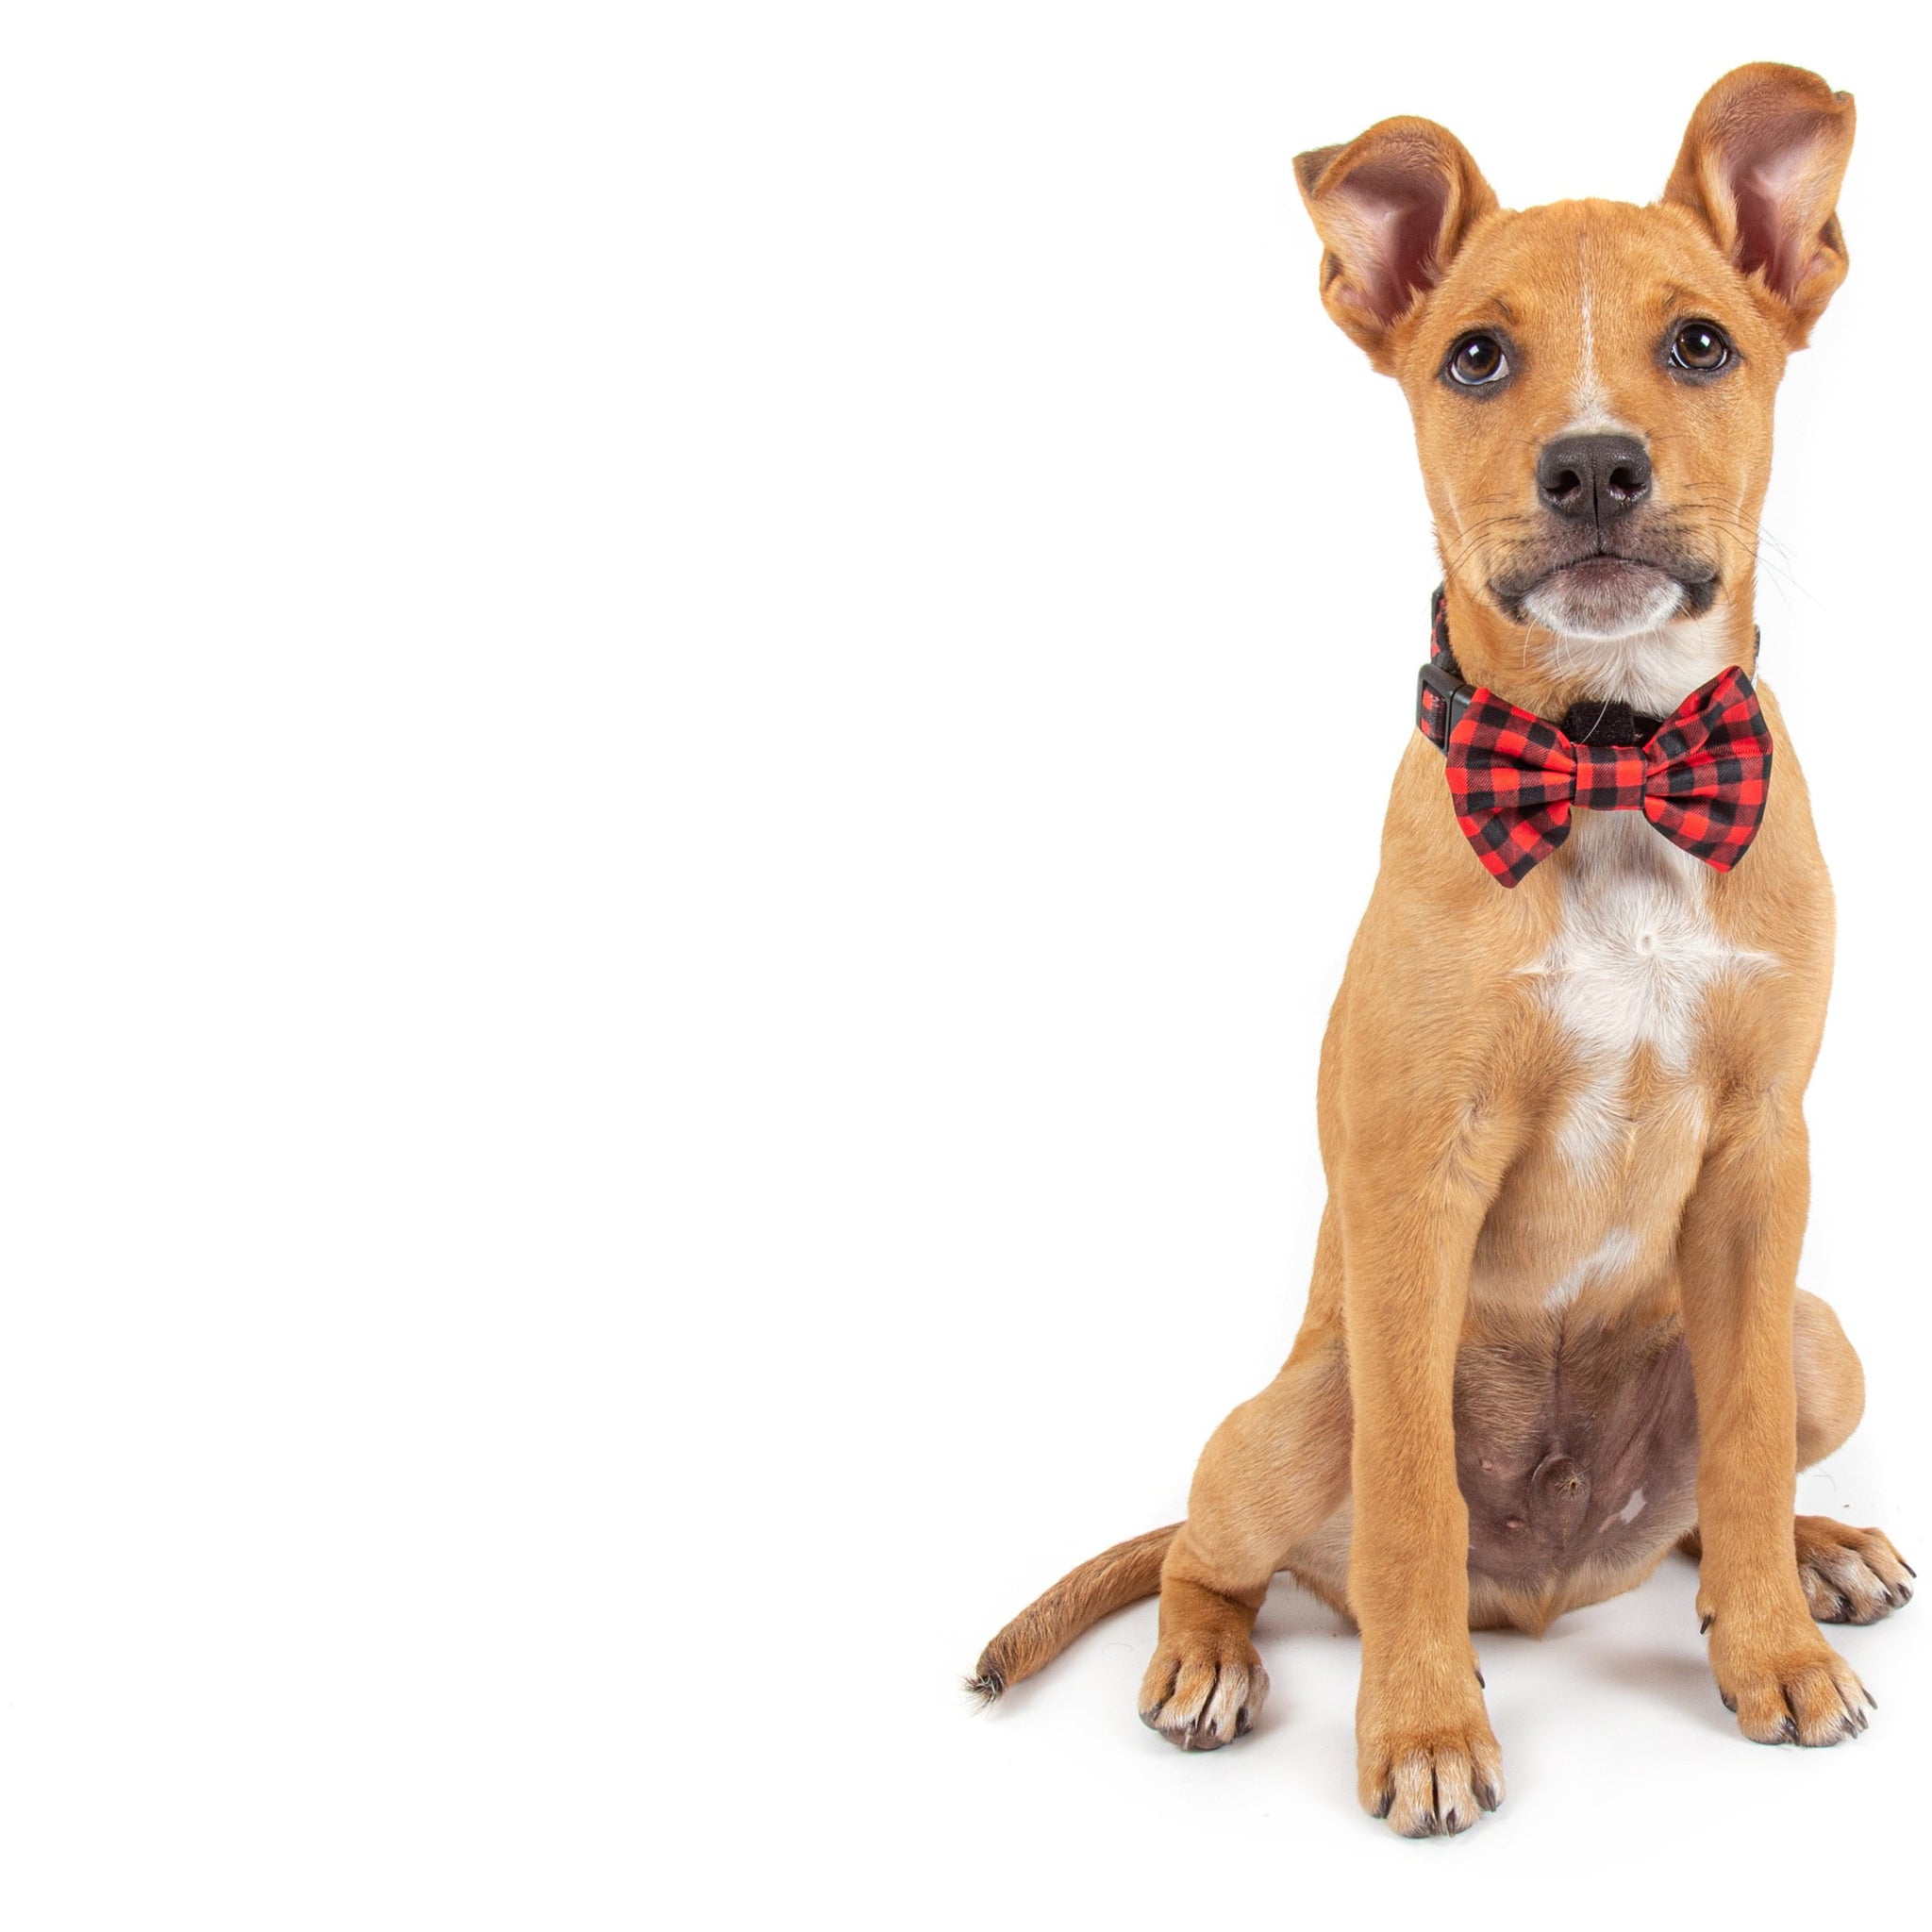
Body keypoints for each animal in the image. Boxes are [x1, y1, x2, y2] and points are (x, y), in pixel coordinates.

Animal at [974, 64, 1908, 1839]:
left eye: (1702, 344)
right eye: (1474, 356)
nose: (1594, 468)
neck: (1608, 762)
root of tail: (1548, 1585)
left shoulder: (1765, 1160)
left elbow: (1747, 1443)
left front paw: (1771, 1647)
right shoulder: (1416, 1179)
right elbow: (1415, 1497)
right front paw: (1417, 1729)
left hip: (1825, 1334)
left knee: (1712, 1497)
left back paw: (1808, 1558)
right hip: (1292, 1411)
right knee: (1216, 1550)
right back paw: (1209, 1659)